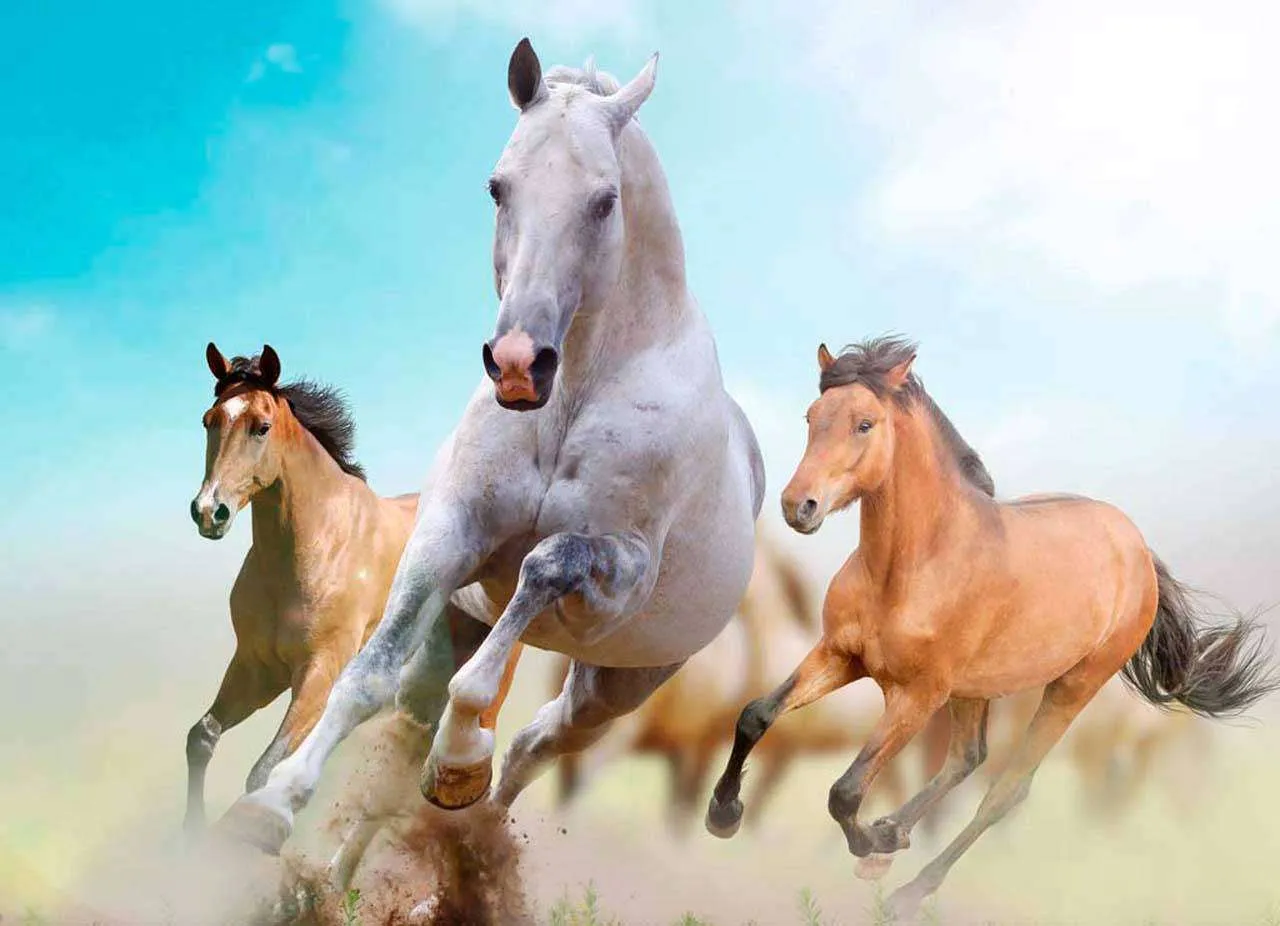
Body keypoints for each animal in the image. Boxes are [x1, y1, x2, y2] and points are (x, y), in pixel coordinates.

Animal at [185, 344, 522, 852]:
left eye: (261, 426)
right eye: (210, 420)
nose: (210, 511)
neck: (318, 547)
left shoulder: (320, 674)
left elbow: (263, 769)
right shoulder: (256, 668)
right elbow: (202, 736)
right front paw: (188, 837)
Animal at [706, 336, 1275, 918]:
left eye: (864, 423)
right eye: (812, 416)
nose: (798, 506)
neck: (912, 565)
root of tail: (1137, 549)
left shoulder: (917, 695)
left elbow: (845, 790)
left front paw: (869, 841)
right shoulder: (840, 656)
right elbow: (755, 715)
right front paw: (724, 814)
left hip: (1070, 688)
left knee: (1006, 788)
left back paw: (906, 888)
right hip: (975, 688)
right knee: (967, 758)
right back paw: (893, 837)